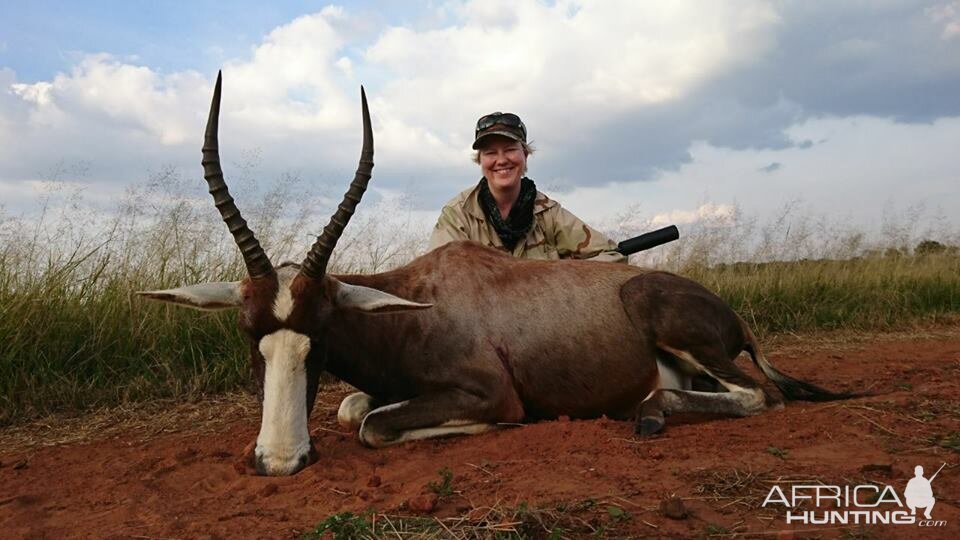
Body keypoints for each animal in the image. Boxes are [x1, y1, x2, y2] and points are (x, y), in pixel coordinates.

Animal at [137, 74, 848, 474]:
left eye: (321, 332)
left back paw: (648, 415)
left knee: (762, 396)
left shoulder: (488, 392)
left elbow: (372, 426)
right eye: (250, 334)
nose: (280, 462)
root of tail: (728, 311)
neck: (415, 304)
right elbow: (352, 409)